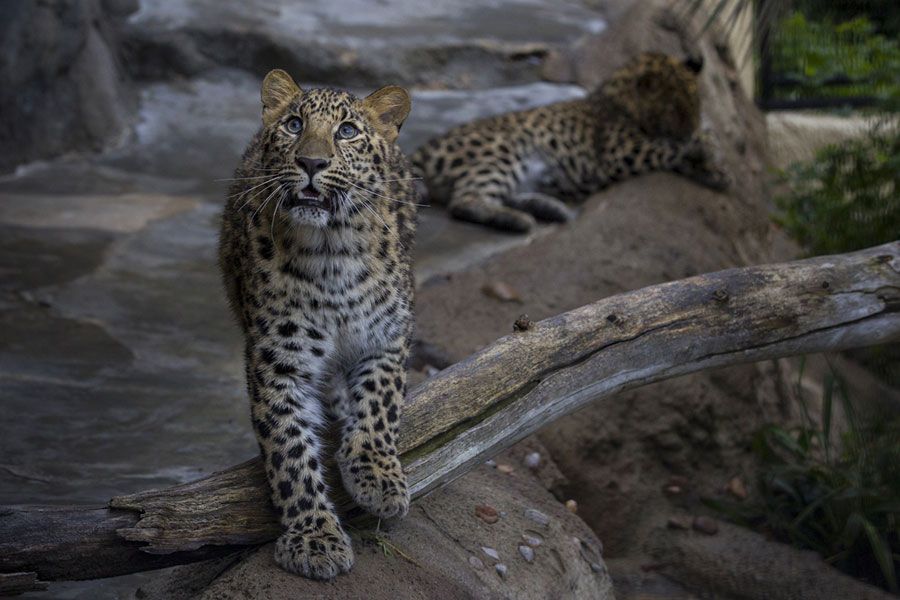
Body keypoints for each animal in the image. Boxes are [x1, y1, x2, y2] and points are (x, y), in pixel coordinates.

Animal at [220, 68, 416, 580]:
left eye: (346, 131)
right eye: (294, 125)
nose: (311, 161)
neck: (332, 253)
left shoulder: (387, 338)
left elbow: (380, 406)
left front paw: (377, 476)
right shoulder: (278, 364)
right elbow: (290, 451)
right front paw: (313, 537)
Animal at [412, 51, 728, 232]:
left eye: (697, 102)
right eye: (675, 109)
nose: (691, 127)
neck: (620, 100)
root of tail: (424, 149)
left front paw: (715, 171)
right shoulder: (619, 152)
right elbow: (667, 147)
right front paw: (706, 146)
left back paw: (551, 209)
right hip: (501, 150)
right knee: (465, 200)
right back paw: (518, 220)